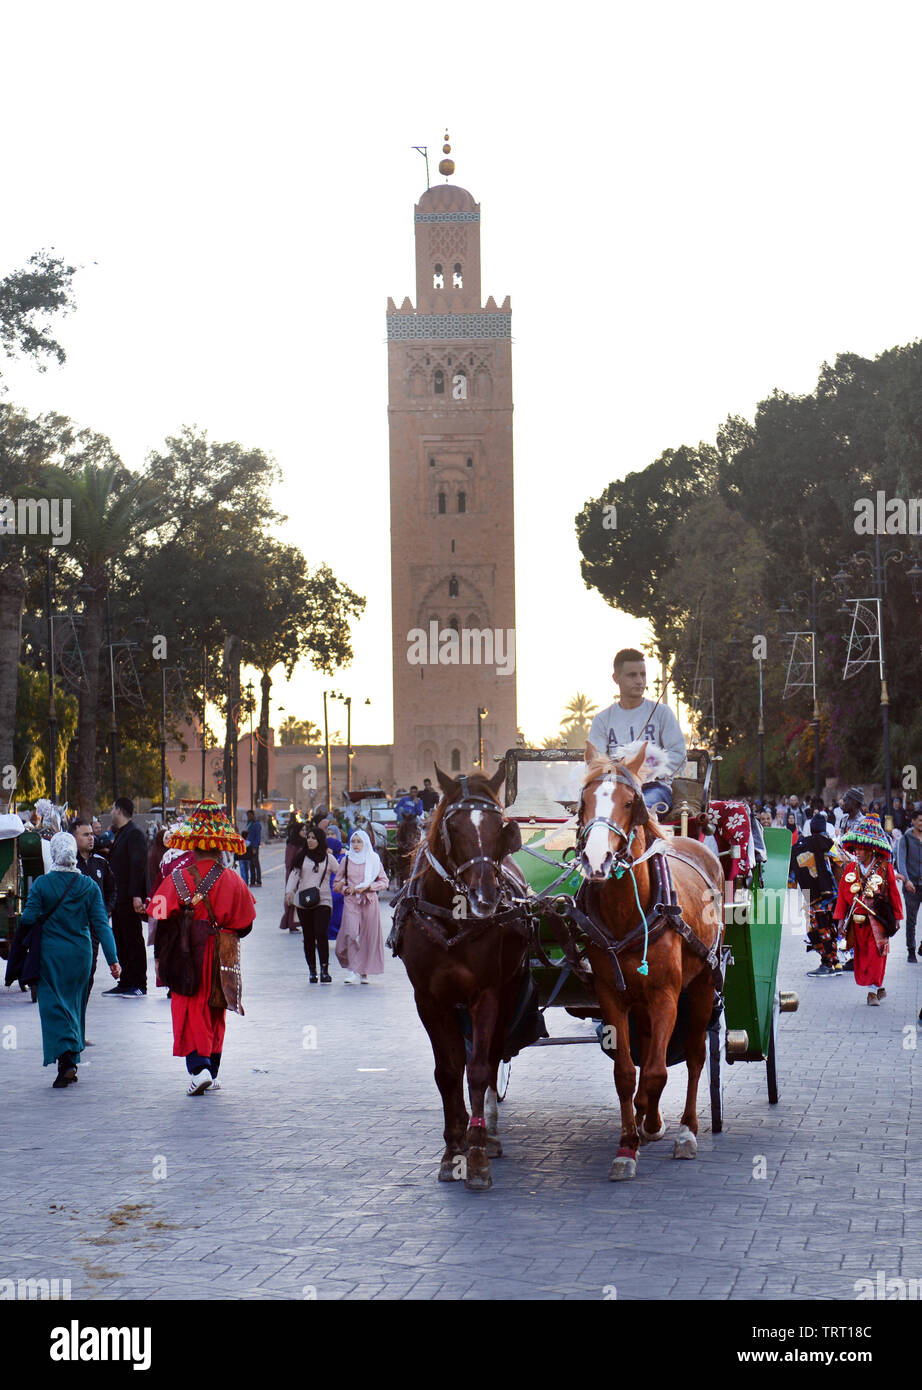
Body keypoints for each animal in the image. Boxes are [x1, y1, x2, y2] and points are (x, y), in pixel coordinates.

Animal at [392, 767, 531, 1189]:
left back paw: (490, 1133)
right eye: (453, 826)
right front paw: (453, 1149)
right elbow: (447, 1071)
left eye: (500, 827)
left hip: (510, 990)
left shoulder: (487, 993)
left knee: (493, 1053)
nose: (485, 897)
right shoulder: (428, 999)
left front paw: (478, 1156)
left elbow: (479, 1069)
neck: (452, 918)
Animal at [581, 745, 723, 1178]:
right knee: (646, 1051)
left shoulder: (666, 995)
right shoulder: (611, 996)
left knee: (694, 1056)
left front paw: (650, 1122)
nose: (595, 859)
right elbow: (627, 1073)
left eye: (630, 803)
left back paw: (687, 1130)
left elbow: (659, 1071)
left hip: (703, 984)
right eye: (583, 802)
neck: (630, 910)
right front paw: (628, 1143)